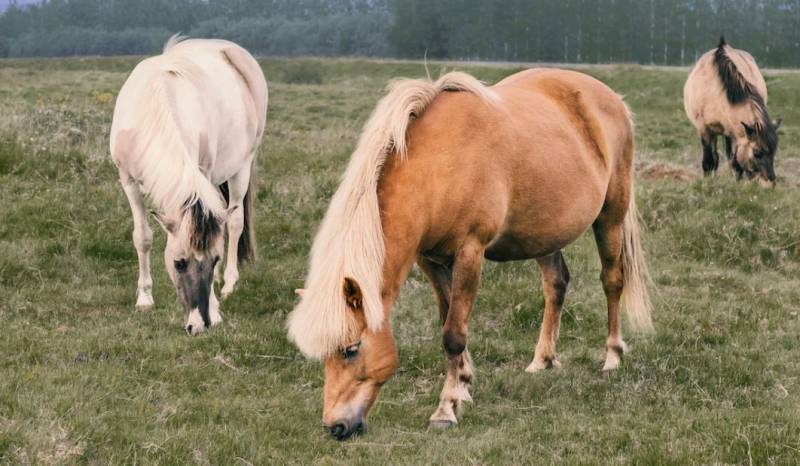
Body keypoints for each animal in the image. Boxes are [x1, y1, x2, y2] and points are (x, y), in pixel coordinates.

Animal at [109, 37, 268, 334]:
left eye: (213, 260)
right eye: (179, 263)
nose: (200, 323)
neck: (159, 107)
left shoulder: (202, 175)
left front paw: (215, 307)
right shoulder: (128, 181)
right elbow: (142, 237)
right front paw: (144, 297)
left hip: (243, 165)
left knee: (235, 222)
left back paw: (229, 282)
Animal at [290, 67, 652, 438]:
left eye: (351, 349)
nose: (336, 426)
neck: (438, 164)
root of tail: (610, 98)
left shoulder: (469, 252)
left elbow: (453, 334)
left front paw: (446, 408)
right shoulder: (430, 260)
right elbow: (448, 319)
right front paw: (463, 385)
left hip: (611, 216)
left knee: (612, 280)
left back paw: (612, 356)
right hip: (545, 233)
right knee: (556, 284)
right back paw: (543, 360)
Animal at [684, 36, 780, 184]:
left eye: (774, 152)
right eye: (757, 153)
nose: (770, 180)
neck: (716, 92)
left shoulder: (734, 133)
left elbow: (735, 163)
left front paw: (736, 183)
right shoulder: (704, 129)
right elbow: (709, 161)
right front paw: (707, 181)